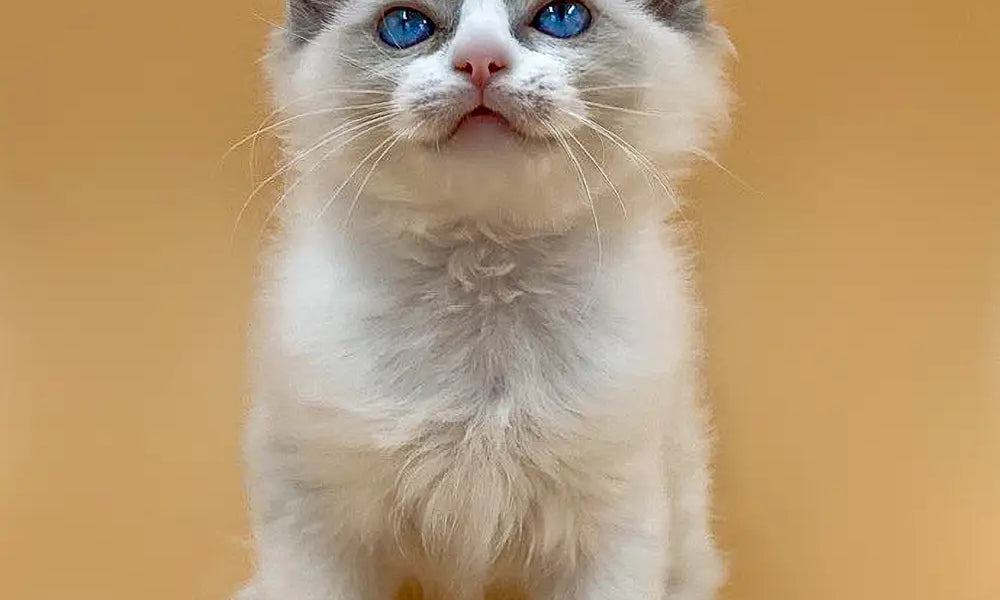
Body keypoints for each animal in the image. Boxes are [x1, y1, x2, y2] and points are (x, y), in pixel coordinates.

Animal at [238, 1, 732, 600]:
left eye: (562, 17)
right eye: (406, 25)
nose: (479, 61)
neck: (484, 280)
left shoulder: (614, 516)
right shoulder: (312, 515)